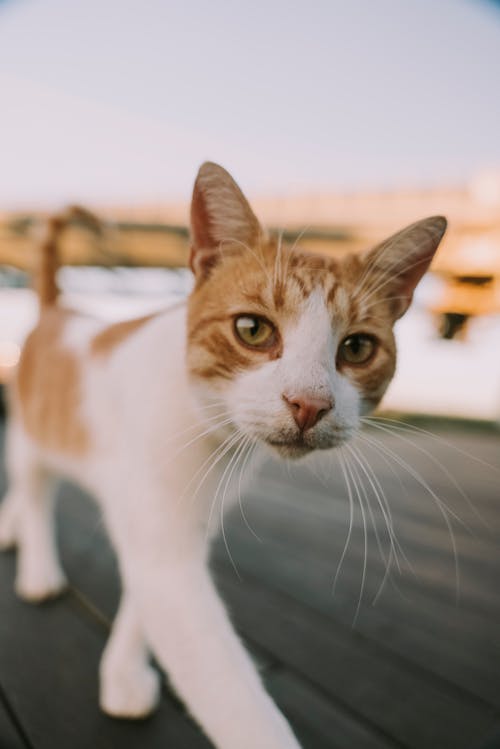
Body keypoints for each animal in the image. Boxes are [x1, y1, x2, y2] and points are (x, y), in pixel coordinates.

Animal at [0, 161, 446, 744]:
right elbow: (230, 694)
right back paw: (36, 566)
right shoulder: (165, 544)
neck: (213, 436)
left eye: (356, 348)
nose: (310, 404)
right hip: (32, 436)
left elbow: (143, 604)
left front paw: (123, 673)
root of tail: (60, 307)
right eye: (252, 329)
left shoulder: (183, 531)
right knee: (34, 490)